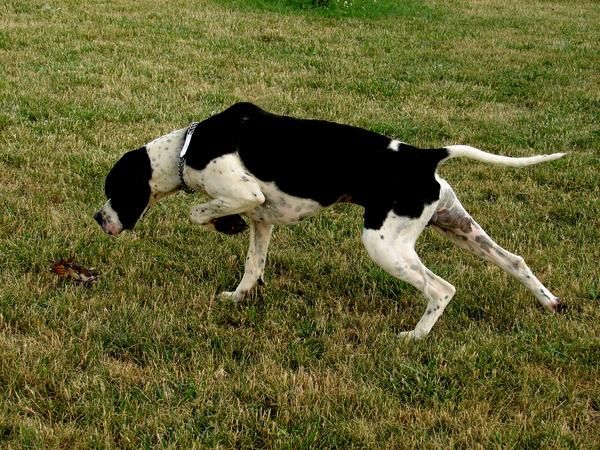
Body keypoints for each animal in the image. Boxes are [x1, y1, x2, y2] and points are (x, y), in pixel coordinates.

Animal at [92, 103, 564, 340]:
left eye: (113, 189)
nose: (98, 218)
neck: (188, 146)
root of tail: (425, 156)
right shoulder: (262, 218)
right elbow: (253, 266)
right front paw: (239, 295)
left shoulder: (246, 195)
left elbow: (197, 212)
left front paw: (223, 226)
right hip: (459, 228)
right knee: (515, 261)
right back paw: (550, 303)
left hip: (384, 244)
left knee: (441, 289)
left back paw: (415, 336)